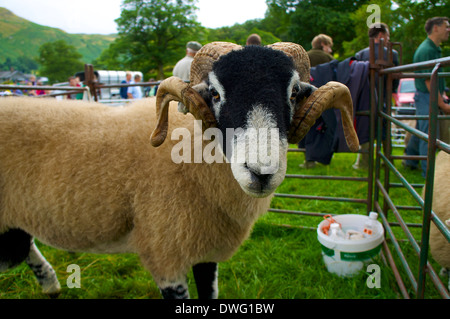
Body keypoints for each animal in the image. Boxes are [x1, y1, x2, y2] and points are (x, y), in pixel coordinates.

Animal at [0, 42, 358, 300]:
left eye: (294, 93)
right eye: (214, 93)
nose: (261, 171)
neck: (192, 154)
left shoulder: (204, 247)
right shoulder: (166, 253)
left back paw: (51, 285)